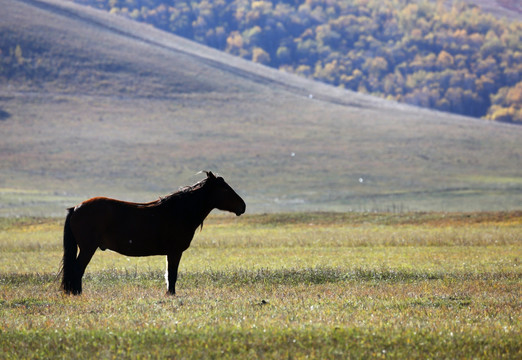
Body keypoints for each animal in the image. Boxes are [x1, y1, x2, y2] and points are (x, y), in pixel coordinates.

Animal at [60, 172, 245, 296]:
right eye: (225, 189)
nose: (243, 206)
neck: (179, 211)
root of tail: (76, 208)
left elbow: (170, 275)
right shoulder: (175, 252)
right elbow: (172, 275)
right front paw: (171, 295)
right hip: (88, 248)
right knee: (77, 269)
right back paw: (77, 294)